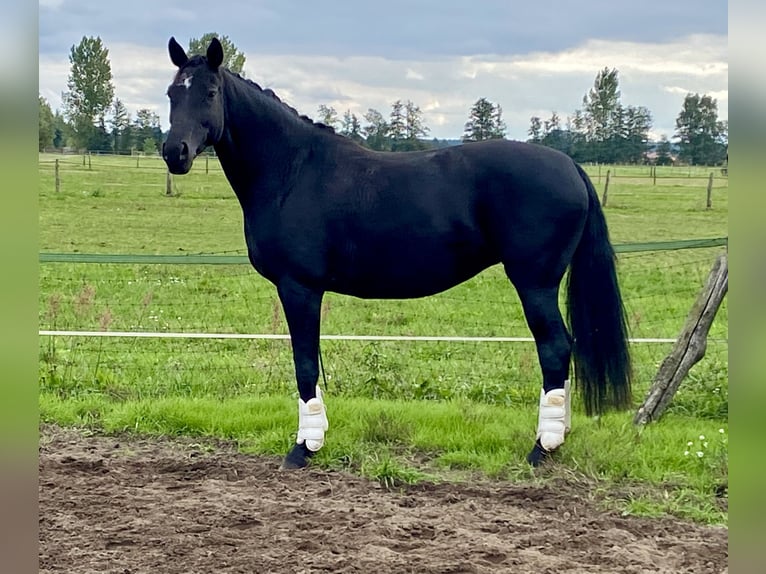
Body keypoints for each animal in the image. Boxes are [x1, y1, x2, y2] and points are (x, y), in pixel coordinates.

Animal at [164, 36, 636, 470]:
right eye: (171, 93)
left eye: (210, 92)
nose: (175, 153)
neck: (292, 170)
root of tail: (570, 165)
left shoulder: (299, 289)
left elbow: (304, 364)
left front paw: (303, 448)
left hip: (534, 282)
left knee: (555, 347)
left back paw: (542, 447)